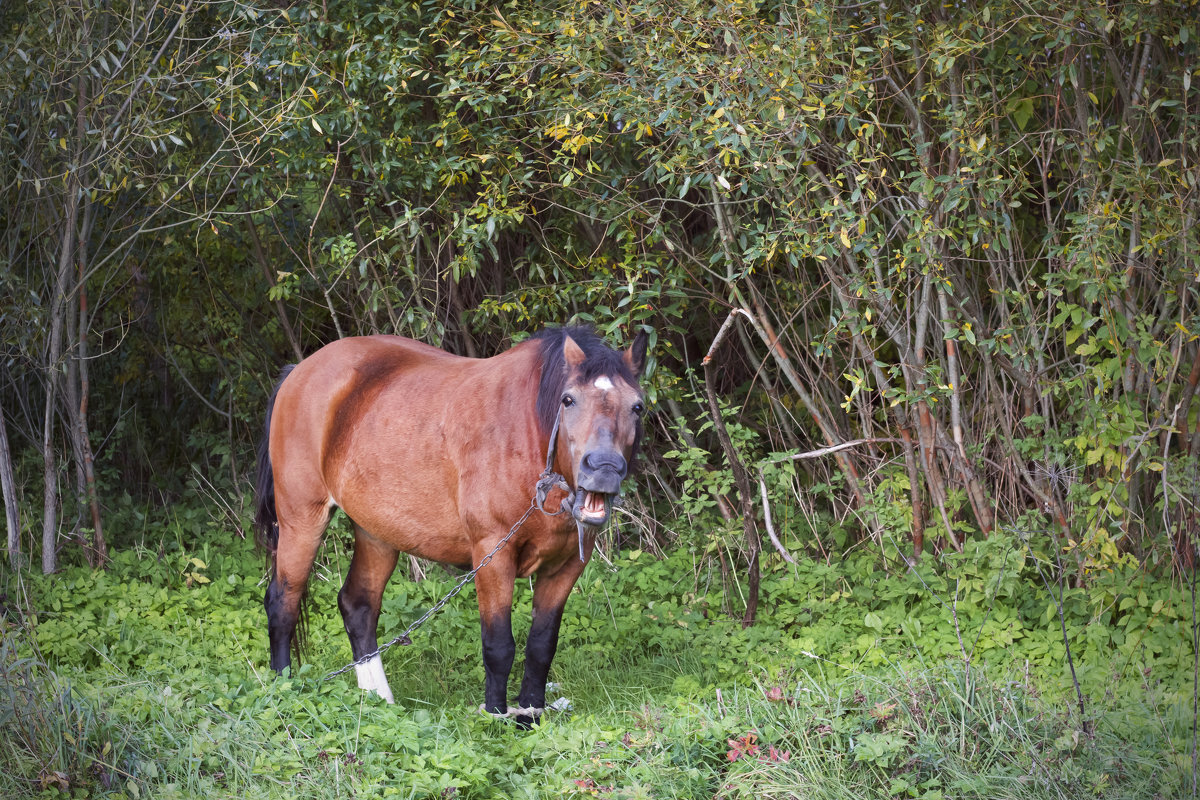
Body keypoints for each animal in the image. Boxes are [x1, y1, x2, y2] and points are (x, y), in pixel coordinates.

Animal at [253, 321, 648, 724]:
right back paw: (284, 692)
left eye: (637, 406)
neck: (530, 437)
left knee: (358, 605)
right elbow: (499, 645)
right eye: (568, 400)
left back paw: (379, 700)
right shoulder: (492, 554)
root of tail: (299, 372)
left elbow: (541, 645)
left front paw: (529, 715)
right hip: (302, 518)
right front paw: (496, 718)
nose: (603, 470)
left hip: (376, 532)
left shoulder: (566, 565)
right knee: (282, 603)